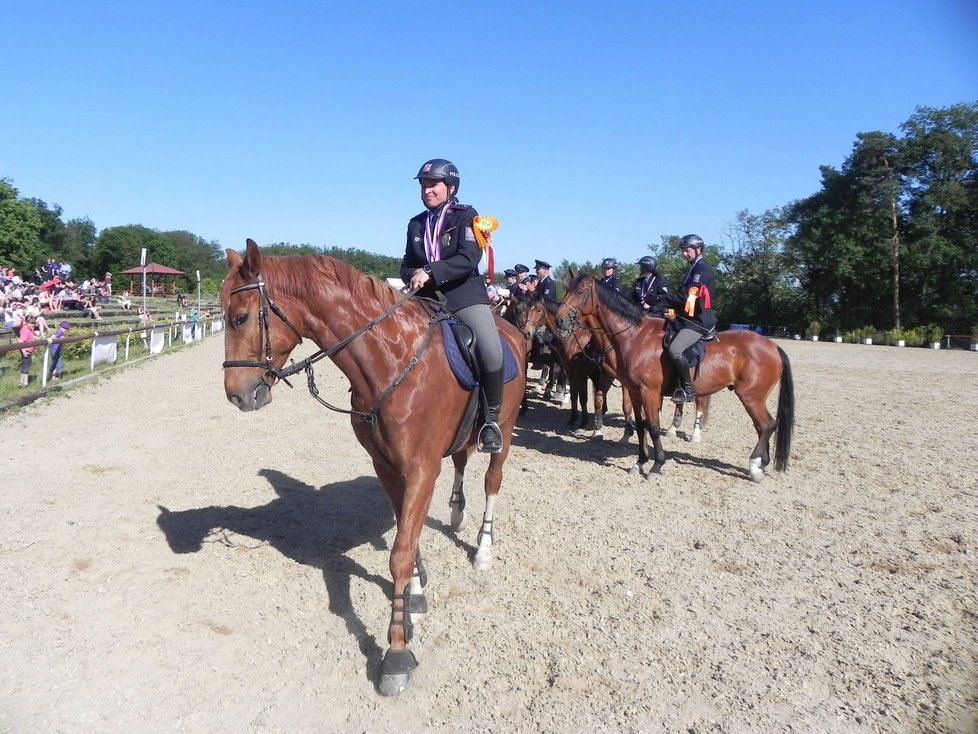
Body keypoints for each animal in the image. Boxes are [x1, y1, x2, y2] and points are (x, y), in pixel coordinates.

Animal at [220, 240, 528, 696]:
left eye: (240, 317)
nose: (237, 395)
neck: (390, 360)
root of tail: (511, 331)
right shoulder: (386, 465)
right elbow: (406, 533)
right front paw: (414, 594)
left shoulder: (420, 469)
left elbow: (400, 553)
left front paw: (396, 653)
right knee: (460, 462)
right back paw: (456, 512)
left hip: (503, 432)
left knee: (492, 479)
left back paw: (483, 549)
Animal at [552, 276, 788, 484]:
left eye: (581, 290)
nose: (559, 320)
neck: (635, 336)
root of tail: (773, 346)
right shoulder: (635, 392)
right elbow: (641, 426)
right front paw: (640, 462)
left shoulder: (649, 392)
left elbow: (654, 427)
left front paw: (656, 466)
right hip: (753, 398)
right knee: (762, 426)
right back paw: (762, 462)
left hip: (751, 397)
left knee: (767, 425)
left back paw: (754, 466)